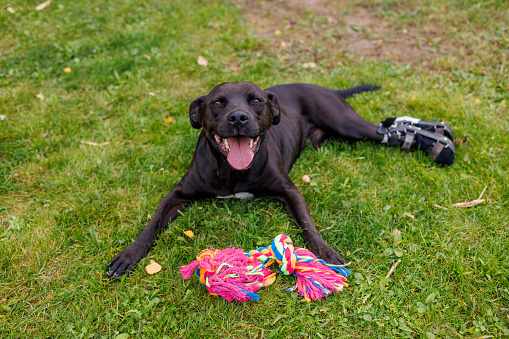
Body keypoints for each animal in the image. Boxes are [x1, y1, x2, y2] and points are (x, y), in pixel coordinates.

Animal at [108, 82, 452, 278]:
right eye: (217, 103)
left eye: (255, 101)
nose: (238, 118)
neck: (233, 171)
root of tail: (326, 88)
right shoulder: (178, 194)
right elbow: (152, 224)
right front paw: (129, 255)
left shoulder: (289, 191)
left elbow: (308, 225)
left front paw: (325, 254)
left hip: (347, 124)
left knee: (388, 131)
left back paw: (435, 142)